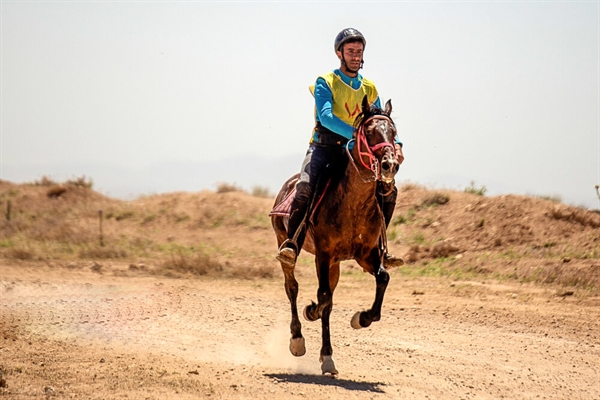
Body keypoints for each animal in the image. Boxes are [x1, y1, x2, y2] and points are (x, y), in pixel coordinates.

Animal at [270, 94, 400, 376]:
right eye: (369, 132)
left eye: (394, 133)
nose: (390, 165)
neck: (354, 203)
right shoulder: (323, 254)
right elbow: (323, 297)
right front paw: (311, 312)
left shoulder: (366, 255)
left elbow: (382, 278)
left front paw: (361, 318)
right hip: (287, 243)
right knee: (292, 287)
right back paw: (299, 340)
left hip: (336, 265)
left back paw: (326, 355)